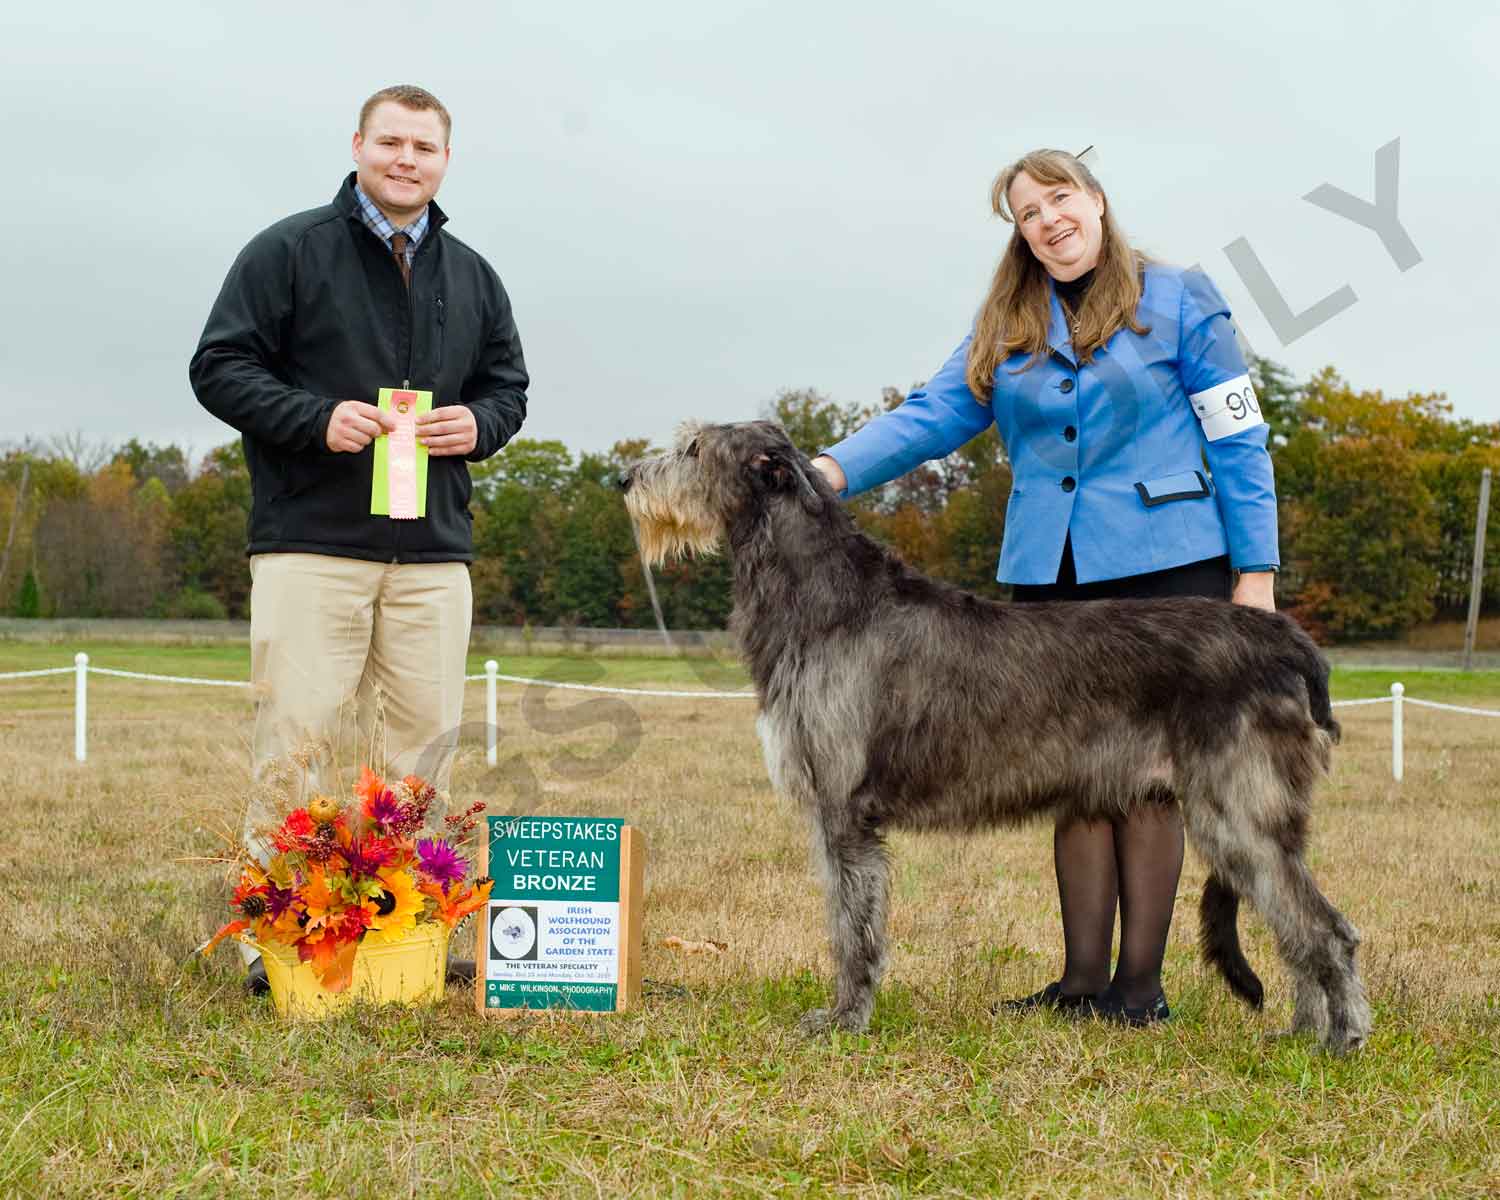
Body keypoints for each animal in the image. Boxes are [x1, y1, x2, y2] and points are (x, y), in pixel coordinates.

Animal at [618, 420, 1374, 1050]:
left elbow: (853, 928)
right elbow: (850, 919)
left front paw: (844, 1020)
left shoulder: (843, 809)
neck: (828, 602)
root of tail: (1284, 639)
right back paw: (1300, 1034)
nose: (623, 480)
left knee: (1326, 929)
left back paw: (1338, 1043)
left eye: (693, 448)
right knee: (1297, 929)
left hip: (1238, 809)